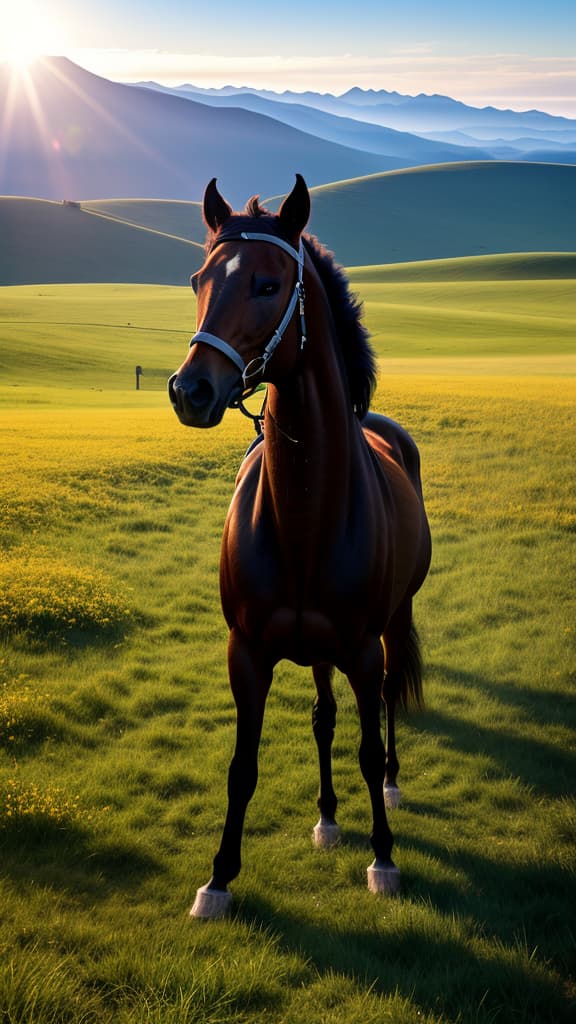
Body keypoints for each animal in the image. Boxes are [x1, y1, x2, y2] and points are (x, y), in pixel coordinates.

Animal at [168, 175, 431, 918]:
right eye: (199, 279)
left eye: (267, 284)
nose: (190, 390)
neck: (306, 514)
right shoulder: (248, 653)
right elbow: (243, 764)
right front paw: (219, 877)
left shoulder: (364, 650)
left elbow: (367, 747)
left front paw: (383, 857)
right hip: (315, 649)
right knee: (323, 716)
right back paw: (327, 817)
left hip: (392, 623)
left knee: (386, 708)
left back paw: (390, 786)